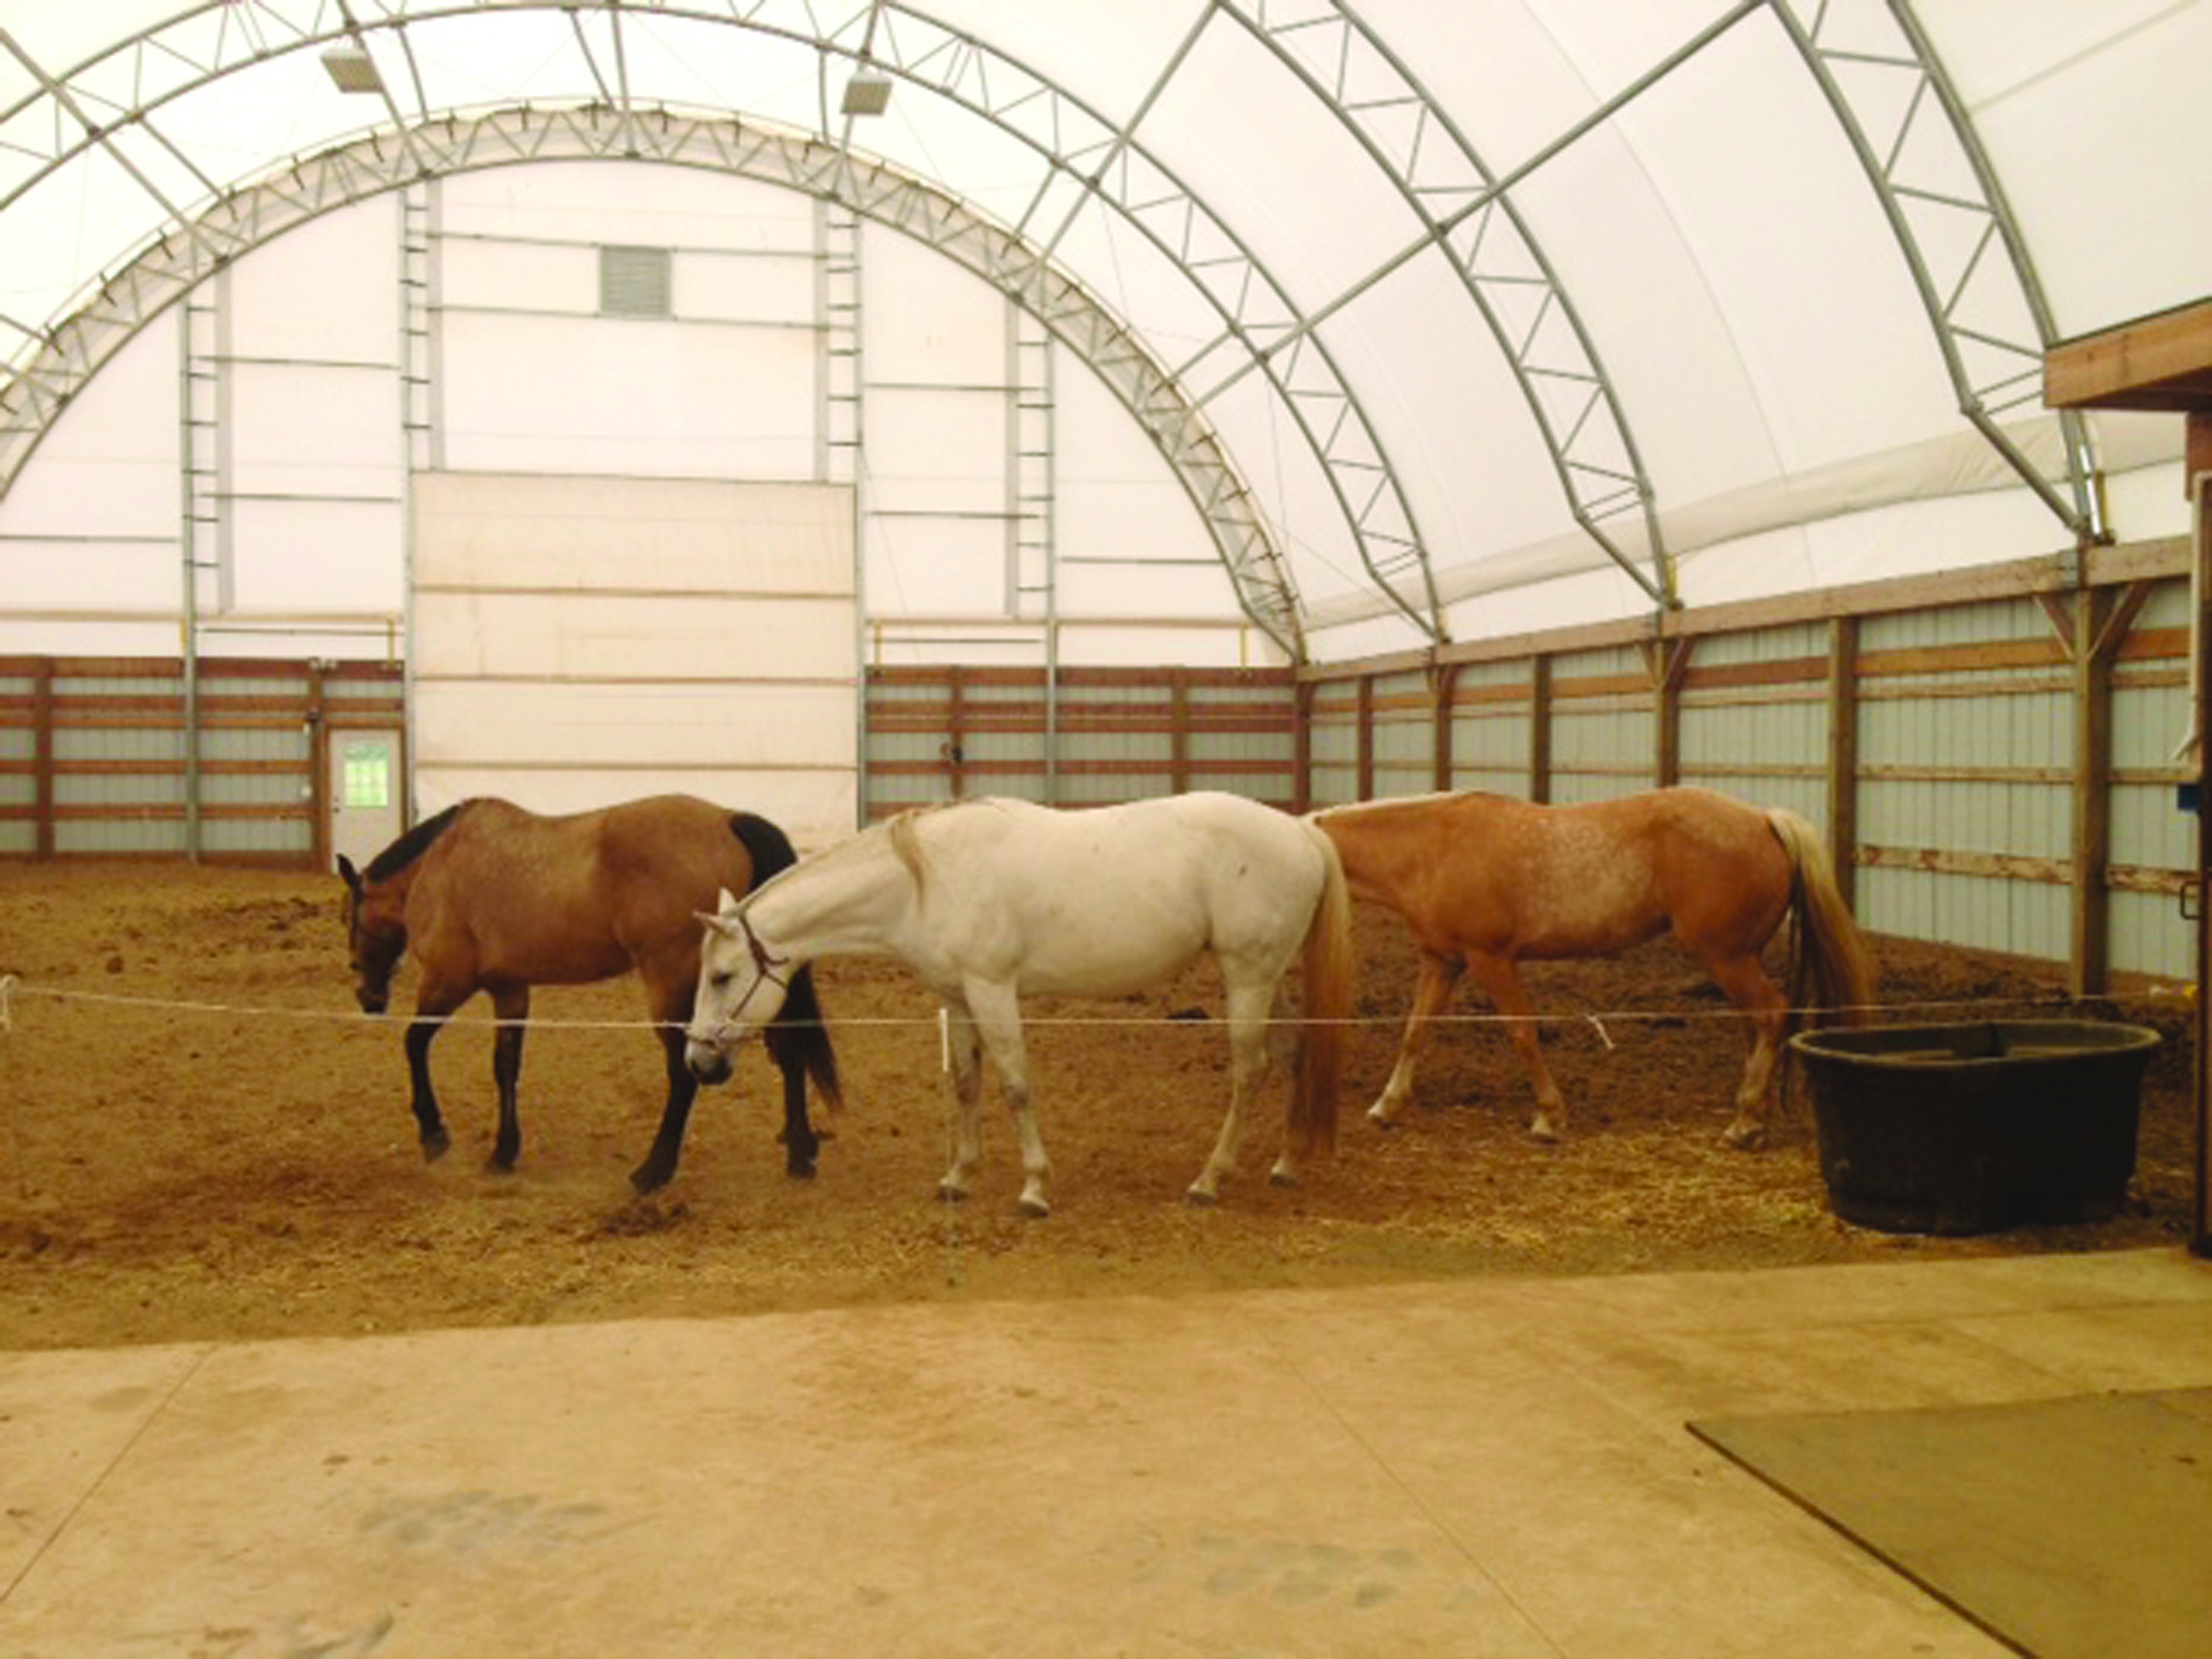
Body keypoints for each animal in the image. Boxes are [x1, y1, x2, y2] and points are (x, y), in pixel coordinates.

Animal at [338, 794, 843, 1192]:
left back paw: (653, 1171)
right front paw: (503, 1152)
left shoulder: (448, 981)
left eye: (349, 919)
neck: (440, 864)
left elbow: (414, 1043)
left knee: (684, 1074)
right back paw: (799, 1154)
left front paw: (433, 1134)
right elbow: (505, 1067)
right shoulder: (509, 990)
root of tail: (727, 819)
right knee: (790, 1052)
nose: (368, 997)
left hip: (674, 986)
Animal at [683, 792, 1354, 1217]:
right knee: (1291, 1055)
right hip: (1267, 976)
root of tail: (1299, 830)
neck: (922, 882)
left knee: (1250, 1070)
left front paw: (1034, 1188)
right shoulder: (957, 997)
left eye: (721, 976)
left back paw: (1209, 1180)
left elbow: (1014, 1085)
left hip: (1248, 975)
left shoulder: (992, 989)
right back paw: (1285, 1164)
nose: (698, 1062)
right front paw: (959, 1176)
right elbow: (967, 1085)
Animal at [1312, 786, 1875, 1149]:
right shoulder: (1442, 961)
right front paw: (1388, 1106)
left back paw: (1744, 1124)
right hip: (1737, 960)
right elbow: (1414, 1032)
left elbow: (1522, 1033)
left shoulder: (1491, 960)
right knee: (1759, 1025)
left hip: (1725, 957)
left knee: (1772, 1014)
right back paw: (1753, 1117)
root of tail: (1765, 820)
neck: (1435, 848)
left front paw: (1549, 1117)